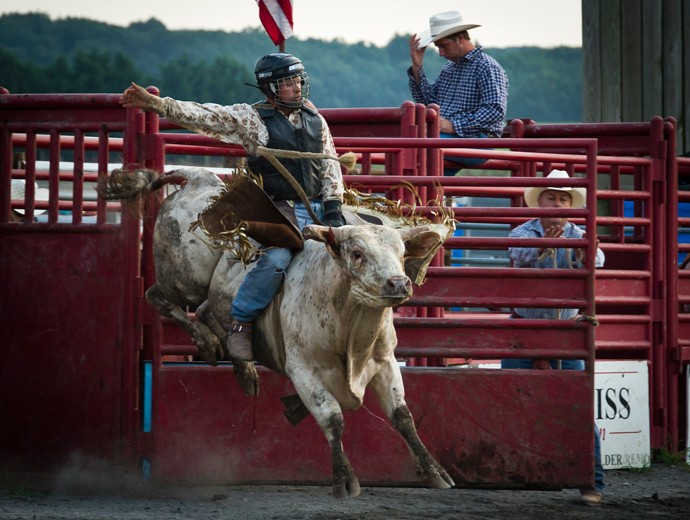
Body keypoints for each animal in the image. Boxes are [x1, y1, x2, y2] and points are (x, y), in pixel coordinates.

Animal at [97, 168, 452, 500]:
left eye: (402, 254)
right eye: (357, 254)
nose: (398, 284)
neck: (351, 331)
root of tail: (199, 179)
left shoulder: (384, 362)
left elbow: (402, 416)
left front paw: (435, 472)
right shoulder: (303, 370)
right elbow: (332, 417)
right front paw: (344, 480)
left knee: (210, 312)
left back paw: (243, 366)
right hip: (184, 278)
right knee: (157, 296)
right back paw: (207, 343)